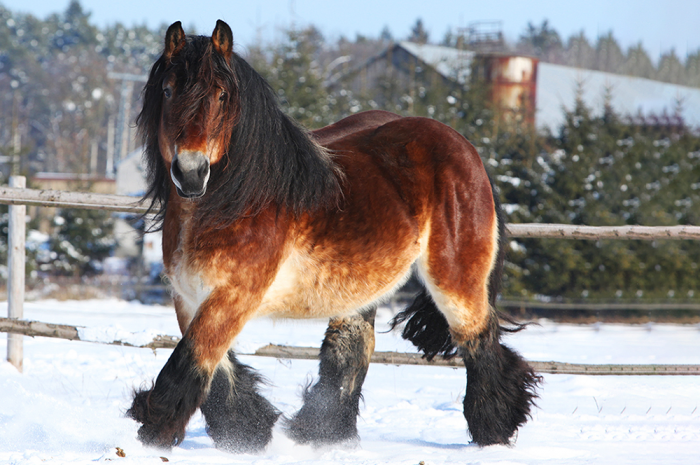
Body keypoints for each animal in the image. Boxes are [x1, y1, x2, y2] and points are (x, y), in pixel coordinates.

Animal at [127, 20, 540, 452]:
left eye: (222, 95)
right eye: (168, 90)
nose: (190, 173)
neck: (240, 197)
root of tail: (468, 150)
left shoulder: (234, 295)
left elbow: (189, 362)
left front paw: (154, 435)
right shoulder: (188, 297)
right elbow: (215, 369)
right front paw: (245, 434)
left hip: (456, 282)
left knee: (479, 342)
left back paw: (494, 431)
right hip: (362, 285)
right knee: (353, 346)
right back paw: (323, 435)